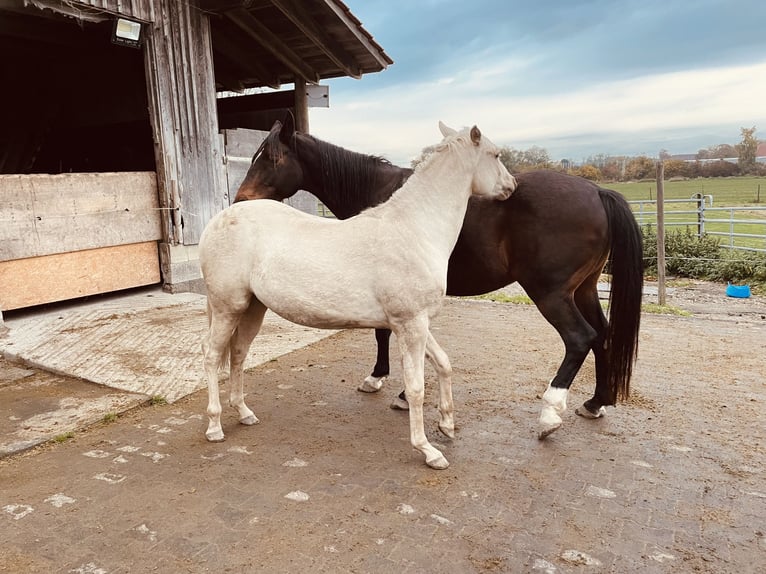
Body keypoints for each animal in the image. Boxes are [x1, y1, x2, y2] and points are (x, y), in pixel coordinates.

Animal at [201, 124, 520, 470]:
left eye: (270, 158)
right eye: (495, 155)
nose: (511, 186)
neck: (414, 229)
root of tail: (218, 221)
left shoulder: (417, 323)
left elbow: (444, 364)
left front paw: (447, 425)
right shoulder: (410, 324)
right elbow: (416, 388)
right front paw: (428, 450)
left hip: (252, 308)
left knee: (238, 353)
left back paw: (244, 412)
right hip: (227, 307)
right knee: (211, 355)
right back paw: (215, 427)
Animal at [237, 119, 644, 438]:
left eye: (272, 158)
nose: (240, 200)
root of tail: (597, 190)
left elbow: (382, 334)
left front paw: (383, 383)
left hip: (551, 293)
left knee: (580, 339)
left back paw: (550, 414)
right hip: (584, 289)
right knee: (602, 335)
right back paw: (596, 402)